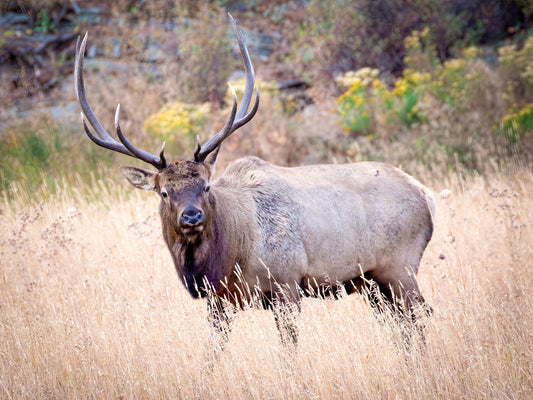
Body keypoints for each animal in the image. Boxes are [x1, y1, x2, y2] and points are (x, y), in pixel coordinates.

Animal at [74, 14, 432, 346]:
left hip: (399, 267)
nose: (192, 216)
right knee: (402, 326)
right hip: (371, 282)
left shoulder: (287, 281)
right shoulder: (219, 301)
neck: (227, 259)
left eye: (205, 186)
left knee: (421, 316)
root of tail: (425, 193)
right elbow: (213, 351)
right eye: (164, 192)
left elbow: (289, 348)